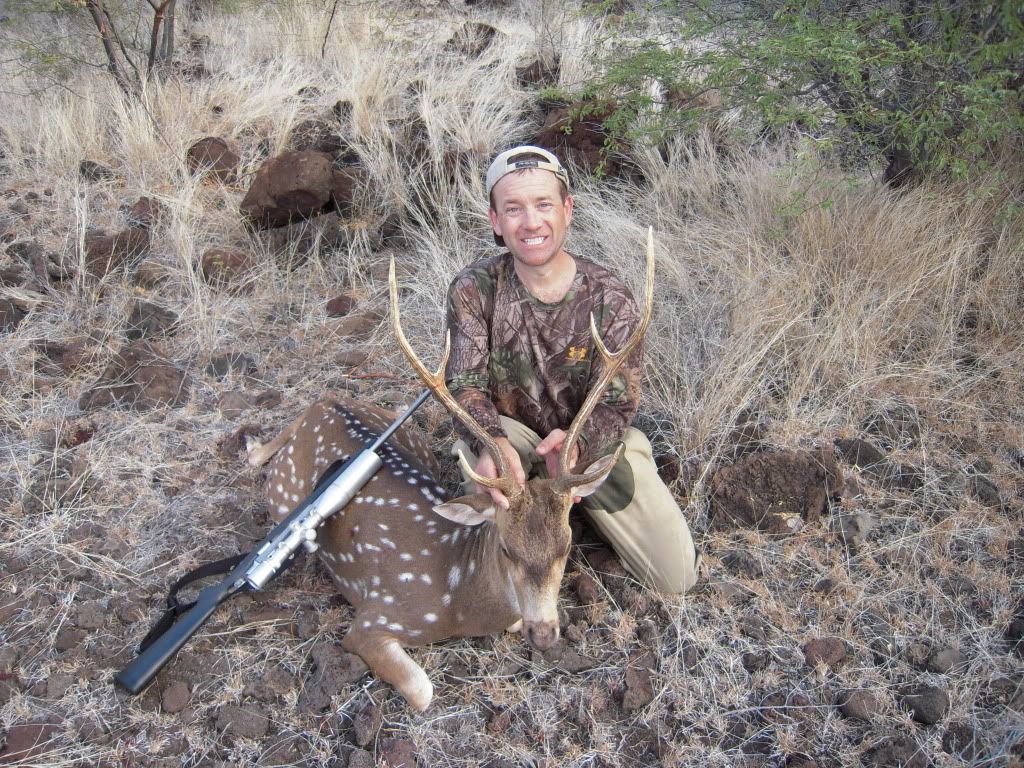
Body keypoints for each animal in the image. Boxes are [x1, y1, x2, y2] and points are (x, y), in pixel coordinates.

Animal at [247, 232, 654, 711]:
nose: (544, 635)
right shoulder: (375, 615)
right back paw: (252, 450)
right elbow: (423, 692)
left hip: (408, 437)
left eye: (566, 547)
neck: (455, 594)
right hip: (284, 492)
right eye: (507, 549)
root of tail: (327, 404)